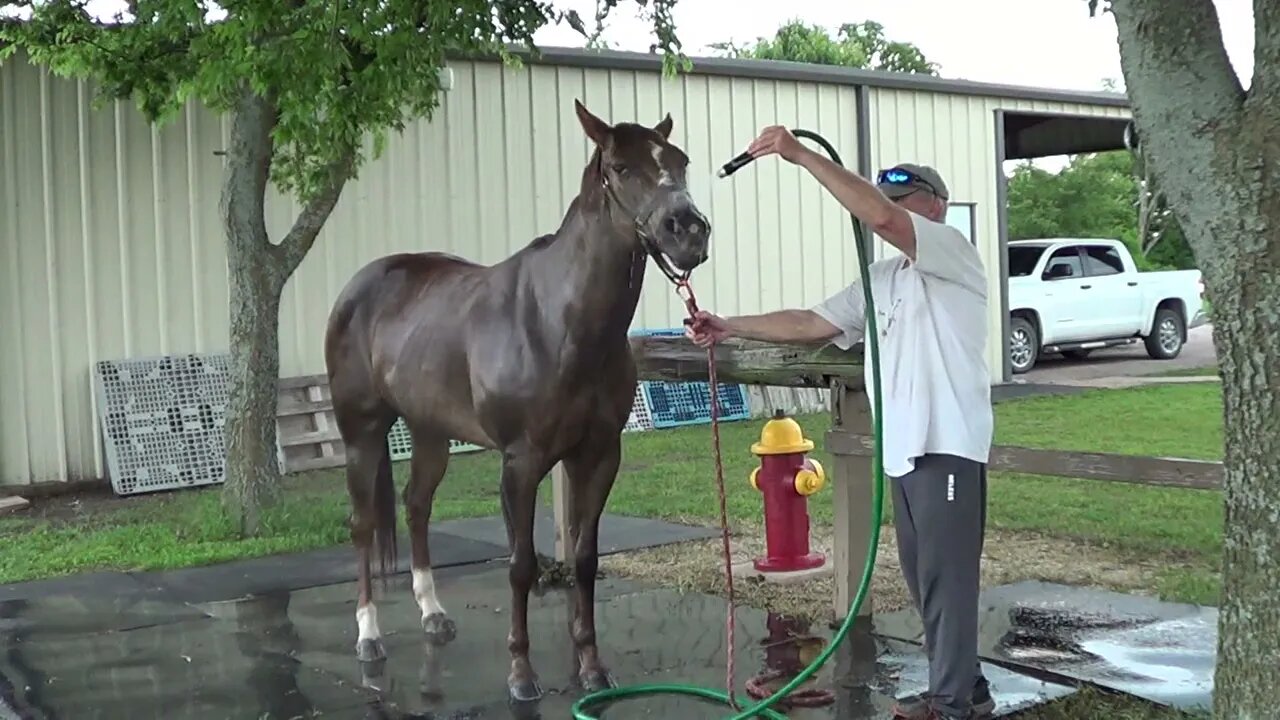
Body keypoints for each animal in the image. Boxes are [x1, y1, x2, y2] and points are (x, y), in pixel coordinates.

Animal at [322, 101, 711, 702]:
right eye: (621, 168)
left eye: (680, 160)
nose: (688, 231)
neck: (560, 322)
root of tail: (358, 287)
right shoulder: (521, 463)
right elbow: (521, 565)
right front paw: (522, 675)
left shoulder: (598, 455)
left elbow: (584, 558)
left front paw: (591, 668)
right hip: (360, 432)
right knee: (363, 524)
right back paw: (369, 636)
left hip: (431, 433)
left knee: (416, 505)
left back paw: (433, 614)